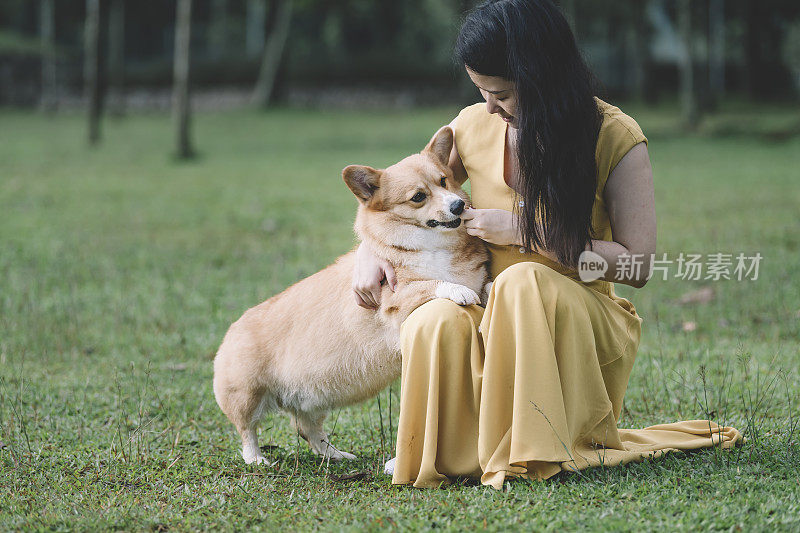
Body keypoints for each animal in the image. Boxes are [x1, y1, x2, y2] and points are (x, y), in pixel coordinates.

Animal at [209, 127, 490, 464]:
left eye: (444, 180)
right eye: (418, 197)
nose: (458, 206)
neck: (432, 246)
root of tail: (232, 328)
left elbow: (485, 284)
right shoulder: (394, 303)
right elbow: (431, 283)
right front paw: (458, 290)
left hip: (312, 397)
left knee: (306, 428)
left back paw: (335, 455)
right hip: (246, 396)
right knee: (247, 430)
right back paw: (257, 459)